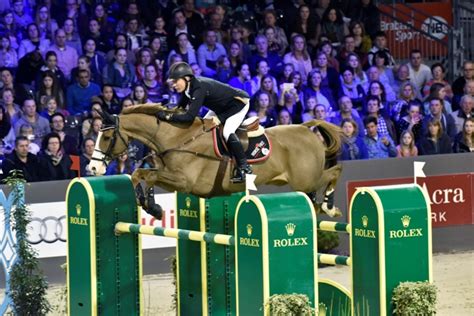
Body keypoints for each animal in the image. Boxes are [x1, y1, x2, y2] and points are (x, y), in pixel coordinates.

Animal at [88, 105, 340, 218]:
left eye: (107, 137)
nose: (93, 167)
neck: (176, 138)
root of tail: (305, 129)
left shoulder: (185, 182)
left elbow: (147, 175)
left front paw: (152, 206)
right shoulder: (174, 178)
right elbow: (140, 174)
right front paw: (149, 204)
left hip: (306, 179)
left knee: (334, 171)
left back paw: (330, 206)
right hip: (301, 182)